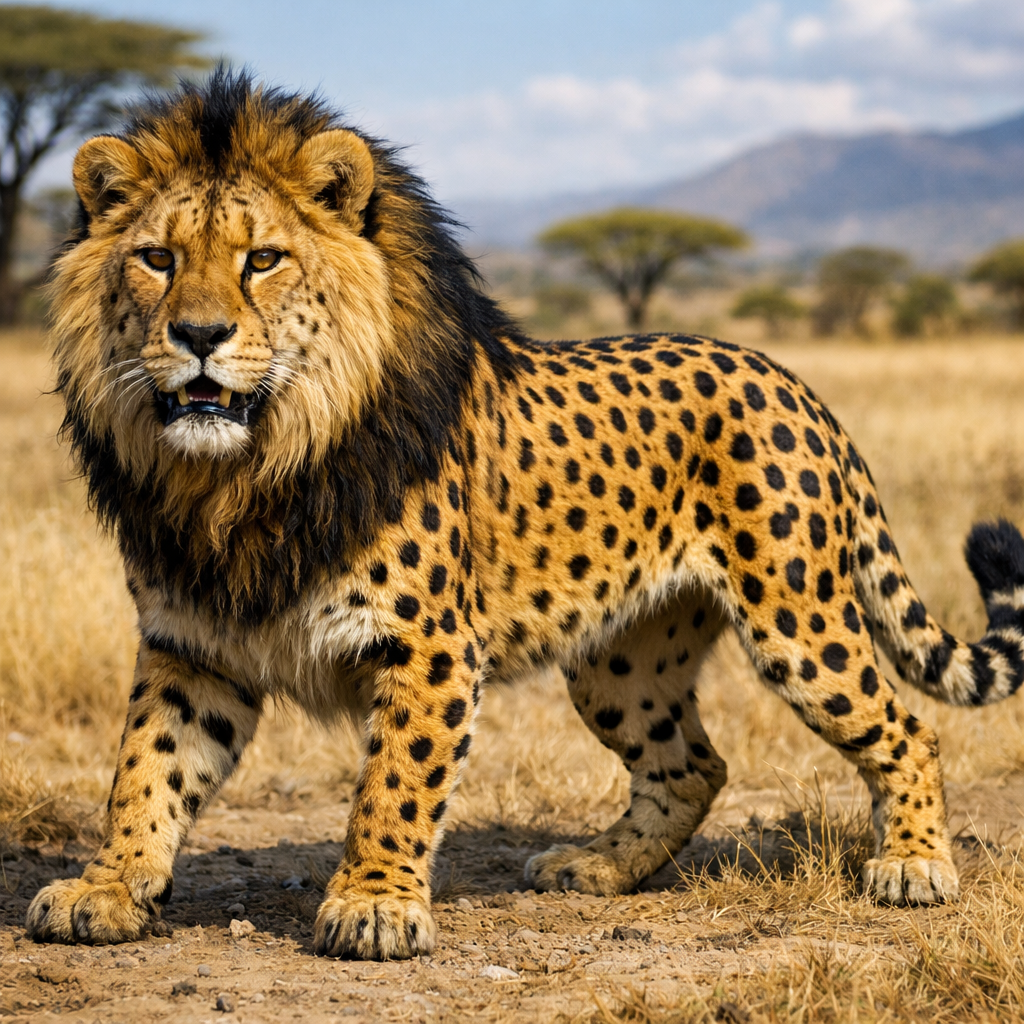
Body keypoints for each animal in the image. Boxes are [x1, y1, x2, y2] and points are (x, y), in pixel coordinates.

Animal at [27, 70, 1024, 961]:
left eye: (261, 259)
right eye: (157, 259)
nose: (199, 337)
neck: (246, 466)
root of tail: (784, 374)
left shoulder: (426, 645)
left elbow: (396, 781)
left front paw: (375, 904)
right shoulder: (192, 643)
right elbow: (147, 768)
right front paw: (108, 886)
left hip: (799, 625)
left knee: (906, 729)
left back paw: (914, 866)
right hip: (620, 662)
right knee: (693, 764)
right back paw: (600, 867)